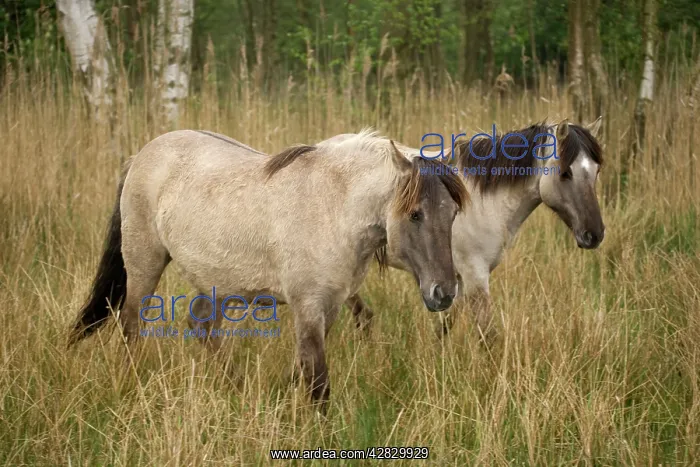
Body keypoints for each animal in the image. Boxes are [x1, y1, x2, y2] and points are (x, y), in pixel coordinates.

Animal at [67, 129, 469, 412]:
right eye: (415, 214)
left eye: (452, 213)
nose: (444, 293)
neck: (334, 207)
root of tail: (141, 155)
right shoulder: (308, 306)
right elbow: (318, 380)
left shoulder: (330, 307)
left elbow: (303, 366)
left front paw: (282, 400)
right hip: (144, 265)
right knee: (131, 325)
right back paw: (130, 385)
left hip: (217, 283)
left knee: (201, 325)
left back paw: (238, 390)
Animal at [340, 118, 605, 340]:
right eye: (565, 173)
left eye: (596, 171)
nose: (595, 234)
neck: (484, 204)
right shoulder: (475, 277)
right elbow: (488, 335)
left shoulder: (456, 282)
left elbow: (446, 325)